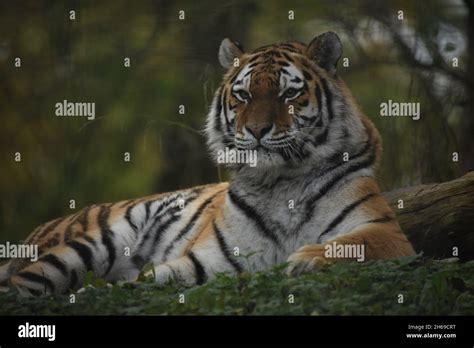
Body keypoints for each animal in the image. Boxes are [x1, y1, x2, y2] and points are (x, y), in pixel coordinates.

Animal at [0, 31, 414, 294]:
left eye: (288, 94)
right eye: (244, 95)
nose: (257, 130)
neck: (283, 180)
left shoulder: (386, 233)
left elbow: (351, 246)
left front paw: (304, 259)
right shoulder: (209, 259)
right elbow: (143, 283)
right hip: (91, 243)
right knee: (23, 284)